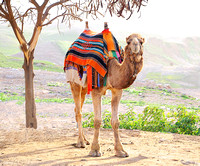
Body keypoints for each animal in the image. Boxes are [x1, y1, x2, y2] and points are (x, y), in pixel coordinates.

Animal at [66, 23, 145, 157]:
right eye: (128, 41)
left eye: (141, 41)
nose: (135, 45)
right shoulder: (96, 90)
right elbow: (97, 120)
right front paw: (95, 150)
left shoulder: (117, 90)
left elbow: (115, 121)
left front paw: (121, 151)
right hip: (74, 81)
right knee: (78, 111)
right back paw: (81, 142)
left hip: (84, 87)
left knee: (78, 108)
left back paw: (85, 140)